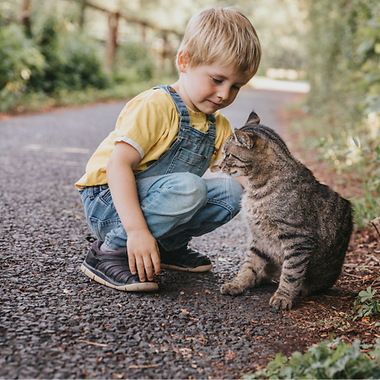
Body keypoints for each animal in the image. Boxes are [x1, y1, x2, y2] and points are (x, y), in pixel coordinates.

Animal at [218, 111, 354, 310]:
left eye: (228, 155)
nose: (219, 166)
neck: (255, 187)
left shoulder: (298, 239)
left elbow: (291, 273)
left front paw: (283, 296)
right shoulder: (259, 238)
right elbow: (249, 265)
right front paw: (238, 283)